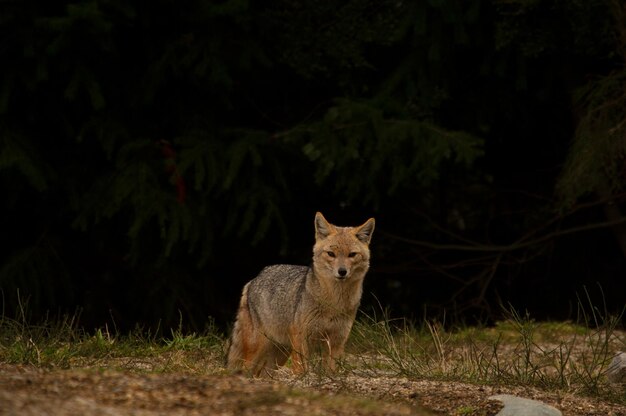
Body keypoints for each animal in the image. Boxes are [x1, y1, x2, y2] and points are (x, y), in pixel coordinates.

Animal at [227, 213, 372, 376]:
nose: (342, 271)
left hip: (279, 355)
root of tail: (254, 279)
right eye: (331, 254)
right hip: (259, 348)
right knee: (246, 369)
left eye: (352, 255)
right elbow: (301, 368)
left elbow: (330, 369)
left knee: (263, 373)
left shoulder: (337, 340)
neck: (334, 303)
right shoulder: (301, 336)